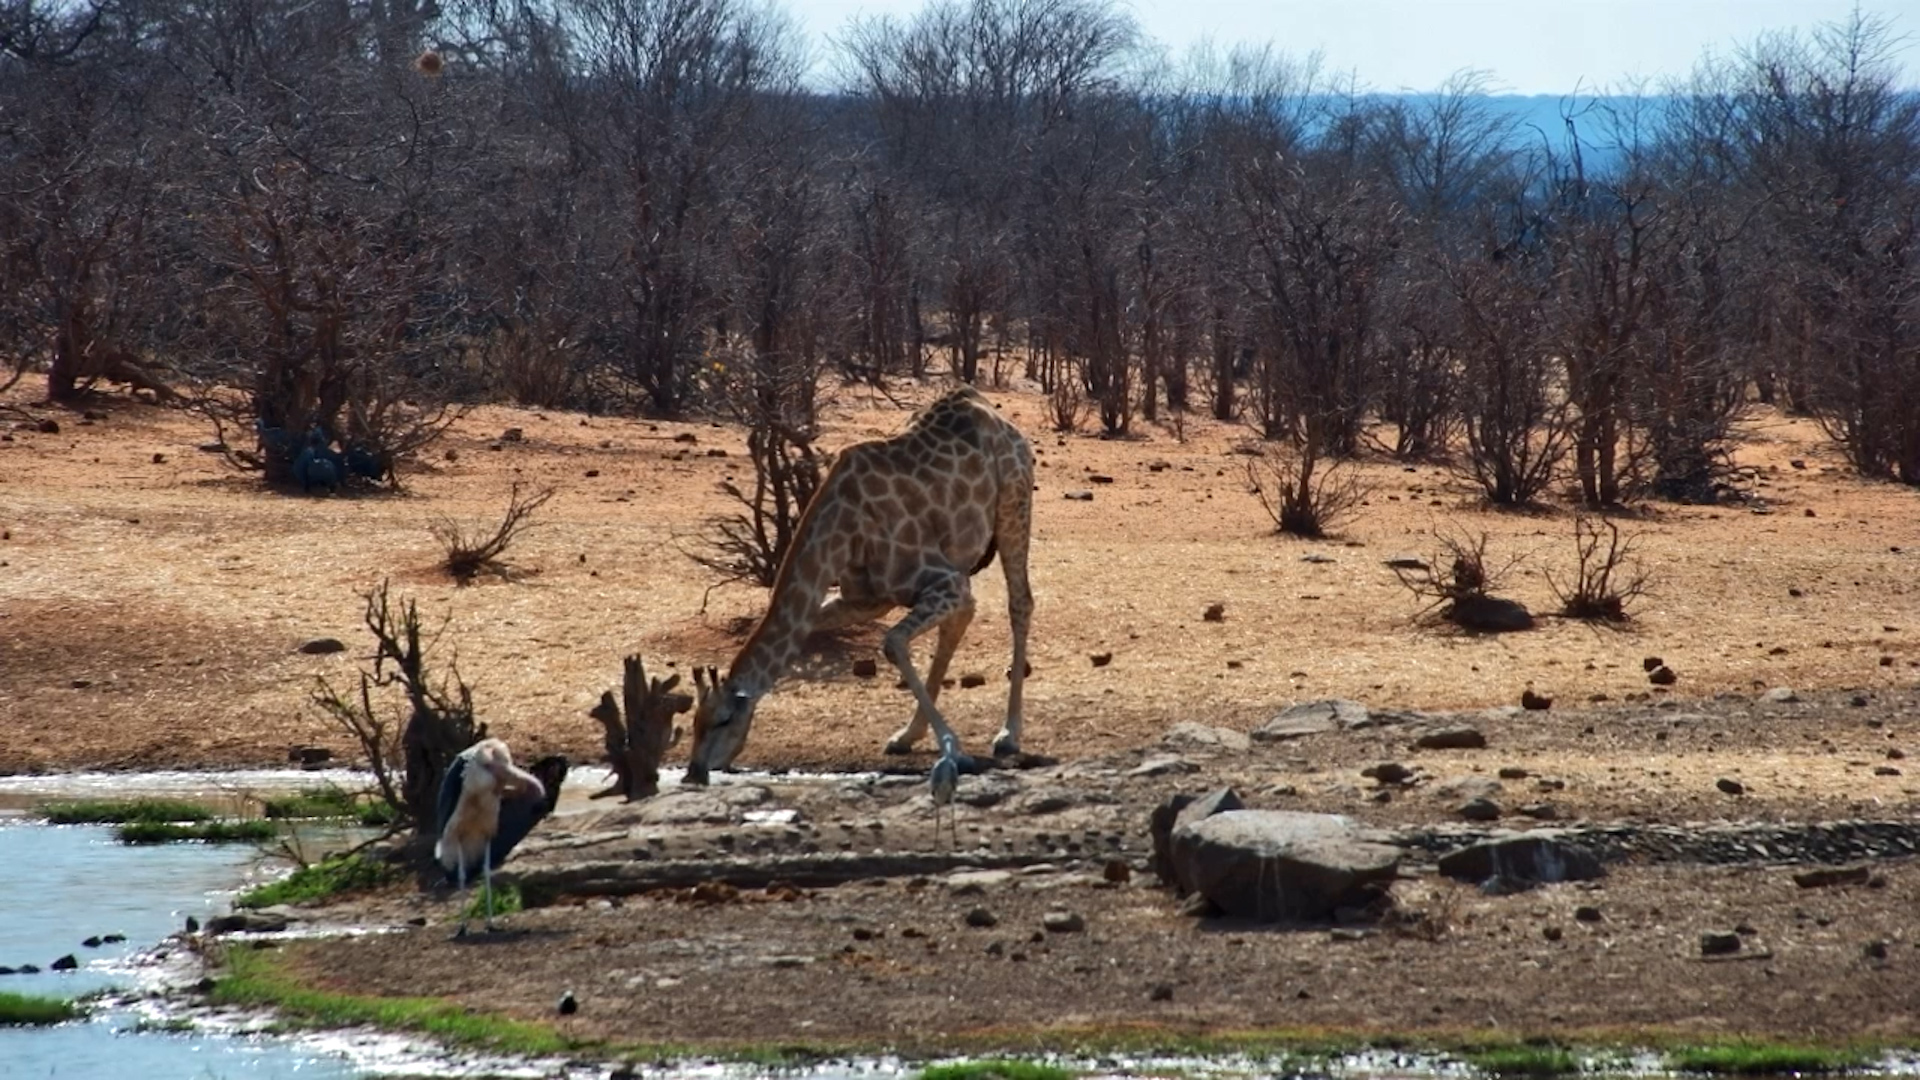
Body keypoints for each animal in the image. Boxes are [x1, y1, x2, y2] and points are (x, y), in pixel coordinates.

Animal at [683, 385, 1035, 785]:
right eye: (694, 722)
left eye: (724, 720)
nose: (694, 771)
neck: (841, 533)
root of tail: (984, 405)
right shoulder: (865, 600)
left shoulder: (946, 581)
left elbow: (892, 643)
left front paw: (955, 749)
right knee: (963, 618)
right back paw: (908, 735)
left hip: (1014, 503)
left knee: (1019, 603)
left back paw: (1008, 735)